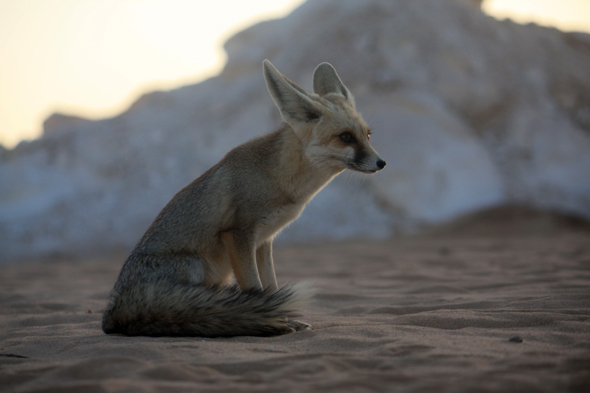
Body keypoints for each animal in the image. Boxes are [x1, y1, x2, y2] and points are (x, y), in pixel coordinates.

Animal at [102, 59, 386, 336]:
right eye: (346, 137)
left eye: (367, 135)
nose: (381, 163)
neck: (280, 179)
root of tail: (111, 312)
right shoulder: (238, 235)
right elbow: (256, 291)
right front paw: (276, 323)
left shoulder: (264, 241)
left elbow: (271, 289)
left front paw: (281, 320)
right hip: (195, 264)